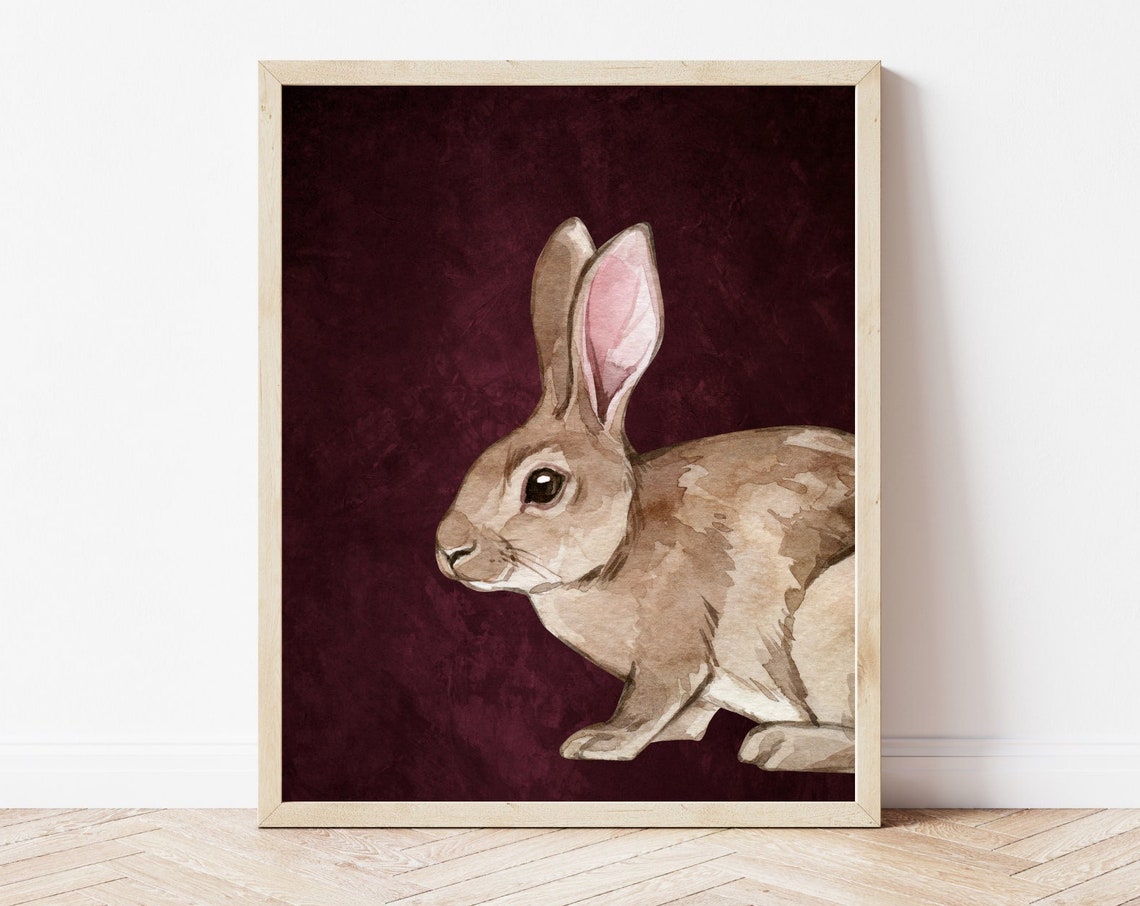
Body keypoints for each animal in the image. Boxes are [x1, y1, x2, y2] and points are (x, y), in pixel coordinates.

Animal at [436, 218, 856, 773]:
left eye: (543, 485)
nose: (449, 550)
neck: (623, 542)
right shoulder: (698, 683)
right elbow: (690, 714)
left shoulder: (675, 647)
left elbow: (650, 702)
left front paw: (598, 741)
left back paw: (777, 744)